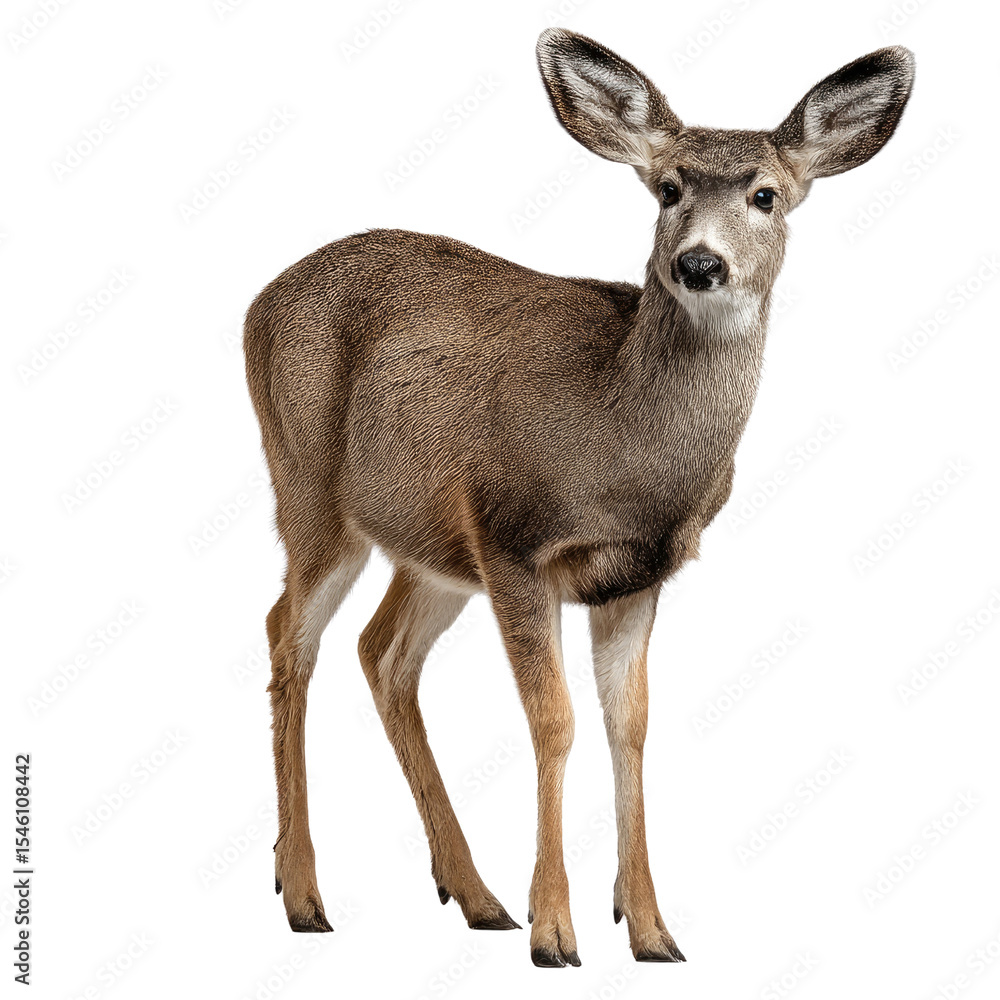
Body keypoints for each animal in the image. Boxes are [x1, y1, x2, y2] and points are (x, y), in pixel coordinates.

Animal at [244, 28, 914, 967]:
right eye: (667, 188)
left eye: (766, 195)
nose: (697, 263)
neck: (624, 448)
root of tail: (258, 301)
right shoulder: (514, 535)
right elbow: (553, 719)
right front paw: (556, 930)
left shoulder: (634, 575)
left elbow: (628, 726)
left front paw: (652, 928)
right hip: (308, 486)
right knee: (287, 636)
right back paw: (304, 893)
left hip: (432, 547)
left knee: (382, 651)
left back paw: (474, 895)